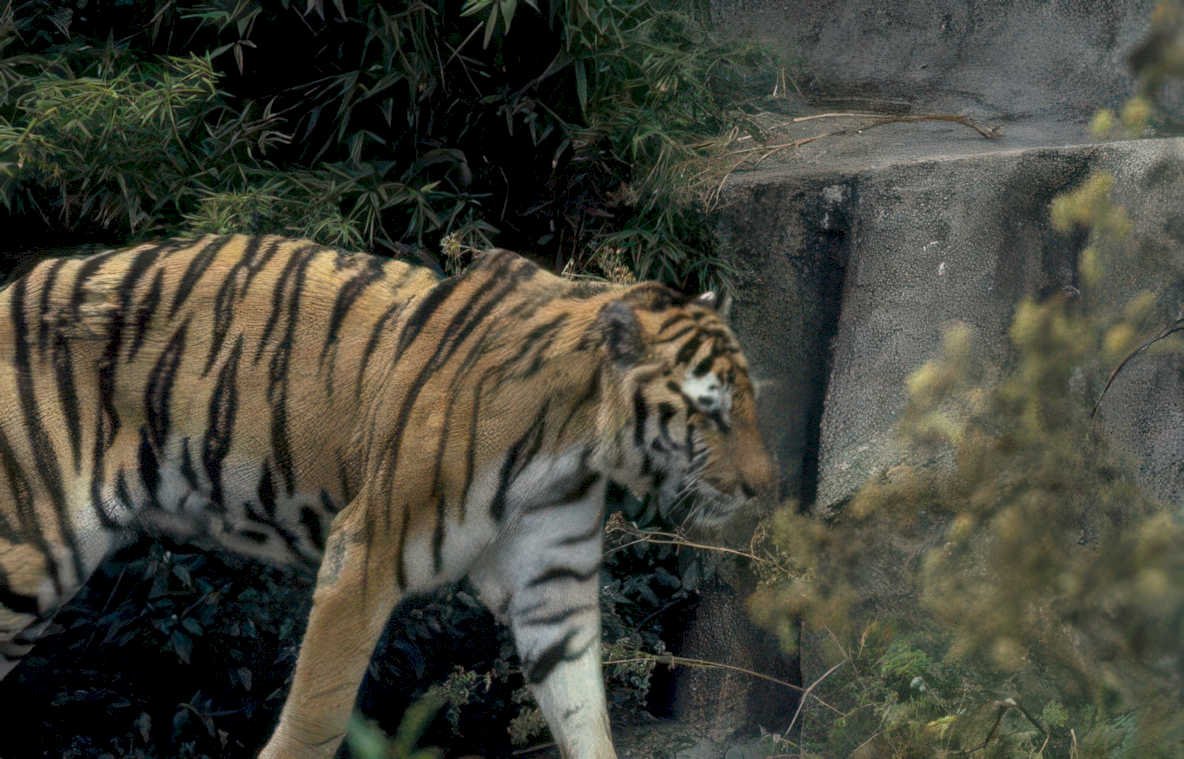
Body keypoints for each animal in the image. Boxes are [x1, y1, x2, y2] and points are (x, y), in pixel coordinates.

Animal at [0, 234, 775, 758]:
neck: (575, 439)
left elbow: (584, 714)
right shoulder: (365, 555)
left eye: (748, 401)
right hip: (30, 552)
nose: (764, 485)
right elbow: (317, 712)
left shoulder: (552, 586)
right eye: (709, 409)